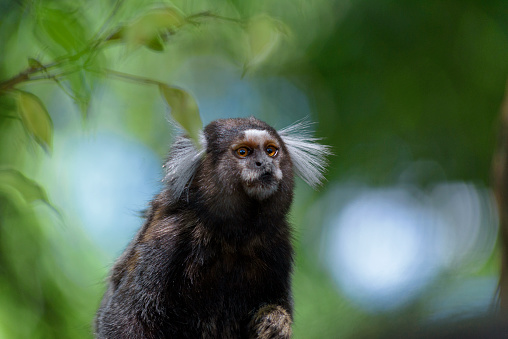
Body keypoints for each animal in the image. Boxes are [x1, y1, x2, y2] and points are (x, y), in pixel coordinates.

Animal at [96, 117, 330, 339]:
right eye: (243, 152)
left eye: (271, 151)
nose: (263, 163)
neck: (233, 237)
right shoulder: (166, 237)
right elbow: (128, 318)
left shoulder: (278, 242)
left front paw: (276, 322)